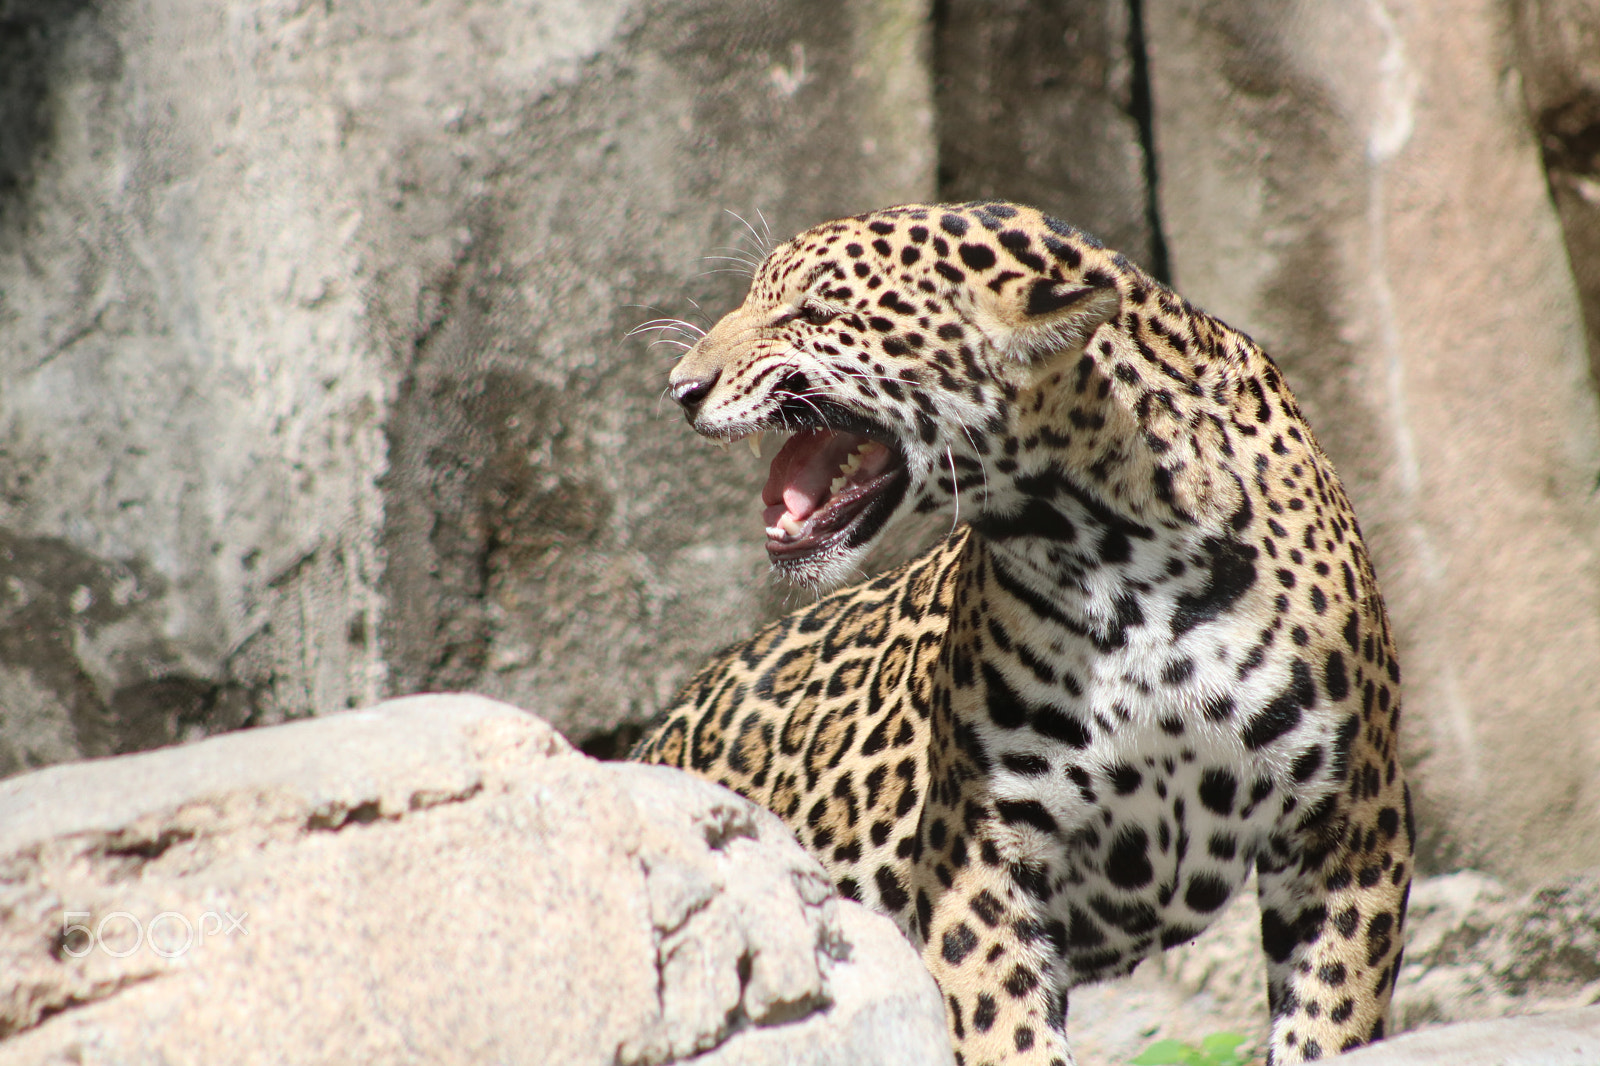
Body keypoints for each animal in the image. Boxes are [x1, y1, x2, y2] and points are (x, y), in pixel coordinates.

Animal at [631, 200, 1411, 1065]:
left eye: (818, 312)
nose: (681, 388)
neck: (1126, 559)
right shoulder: (981, 851)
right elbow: (1006, 1025)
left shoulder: (1353, 823)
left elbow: (1329, 1014)